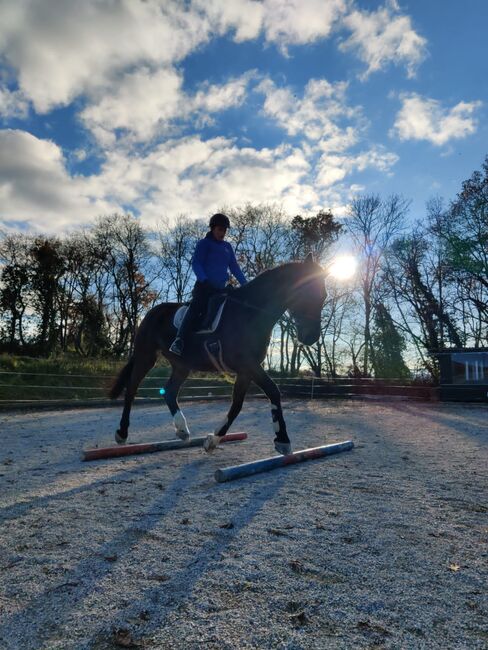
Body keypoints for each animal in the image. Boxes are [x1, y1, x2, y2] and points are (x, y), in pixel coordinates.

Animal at [108, 251, 326, 454]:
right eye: (305, 292)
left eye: (323, 296)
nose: (311, 337)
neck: (250, 312)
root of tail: (153, 312)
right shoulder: (246, 363)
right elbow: (273, 390)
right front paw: (283, 440)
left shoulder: (247, 369)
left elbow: (237, 404)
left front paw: (212, 440)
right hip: (146, 356)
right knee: (132, 388)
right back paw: (122, 433)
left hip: (182, 365)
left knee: (169, 391)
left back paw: (182, 430)